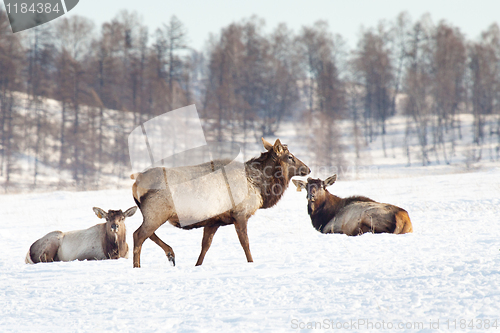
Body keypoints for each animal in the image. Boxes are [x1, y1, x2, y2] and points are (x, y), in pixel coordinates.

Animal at [131, 137, 310, 268]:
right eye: (290, 157)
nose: (307, 169)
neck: (259, 187)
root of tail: (136, 181)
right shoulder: (240, 214)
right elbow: (245, 243)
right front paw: (251, 262)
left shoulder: (214, 221)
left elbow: (205, 246)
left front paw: (197, 265)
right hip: (157, 212)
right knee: (138, 235)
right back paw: (138, 266)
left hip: (152, 214)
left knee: (145, 234)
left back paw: (170, 254)